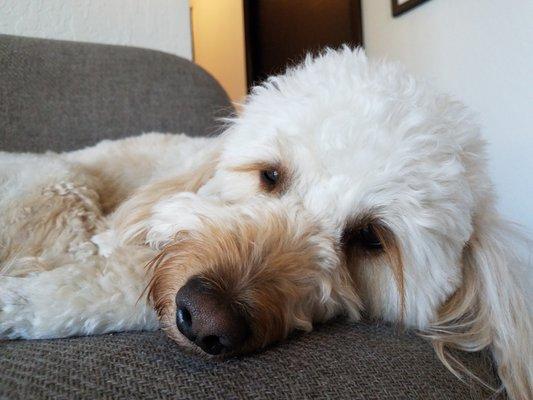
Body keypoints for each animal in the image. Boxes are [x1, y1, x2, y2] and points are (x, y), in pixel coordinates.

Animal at [1, 48, 532, 398]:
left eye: (369, 238)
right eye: (270, 175)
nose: (207, 316)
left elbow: (113, 285)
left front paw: (23, 300)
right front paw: (18, 300)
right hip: (61, 186)